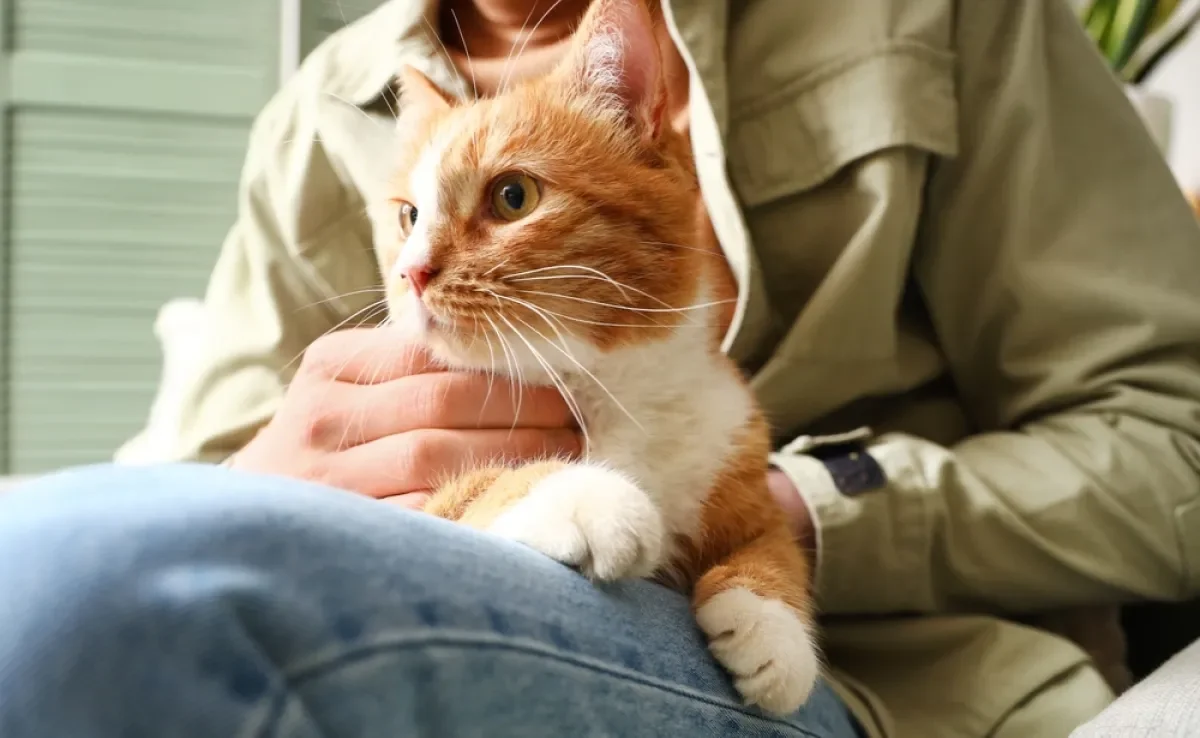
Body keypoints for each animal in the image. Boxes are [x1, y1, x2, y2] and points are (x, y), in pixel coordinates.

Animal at [379, 0, 820, 715]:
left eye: (513, 196)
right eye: (408, 217)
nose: (410, 272)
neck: (613, 385)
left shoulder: (737, 453)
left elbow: (775, 541)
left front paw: (770, 625)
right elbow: (471, 483)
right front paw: (581, 492)